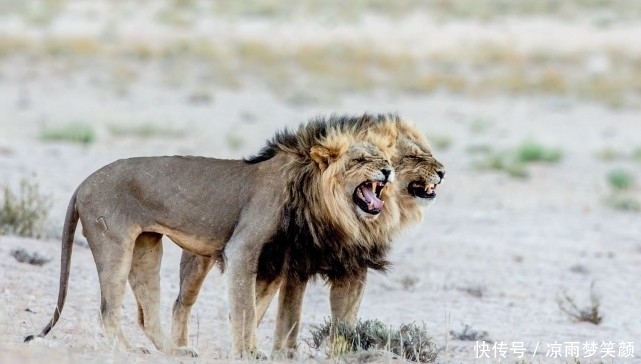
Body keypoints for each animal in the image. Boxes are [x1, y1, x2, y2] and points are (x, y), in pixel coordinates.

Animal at [26, 120, 400, 358]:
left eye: (384, 159)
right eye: (360, 160)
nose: (387, 170)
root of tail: (82, 184)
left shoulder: (277, 262)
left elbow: (256, 308)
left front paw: (249, 349)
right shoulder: (243, 248)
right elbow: (246, 307)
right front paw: (249, 352)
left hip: (146, 246)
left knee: (146, 313)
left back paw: (175, 351)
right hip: (114, 244)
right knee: (108, 310)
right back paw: (126, 351)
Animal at [170, 114, 444, 358]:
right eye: (413, 156)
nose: (442, 172)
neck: (346, 219)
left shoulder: (352, 267)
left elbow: (344, 321)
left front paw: (343, 353)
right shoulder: (296, 264)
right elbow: (290, 317)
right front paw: (284, 354)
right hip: (198, 262)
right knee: (182, 304)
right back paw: (180, 348)